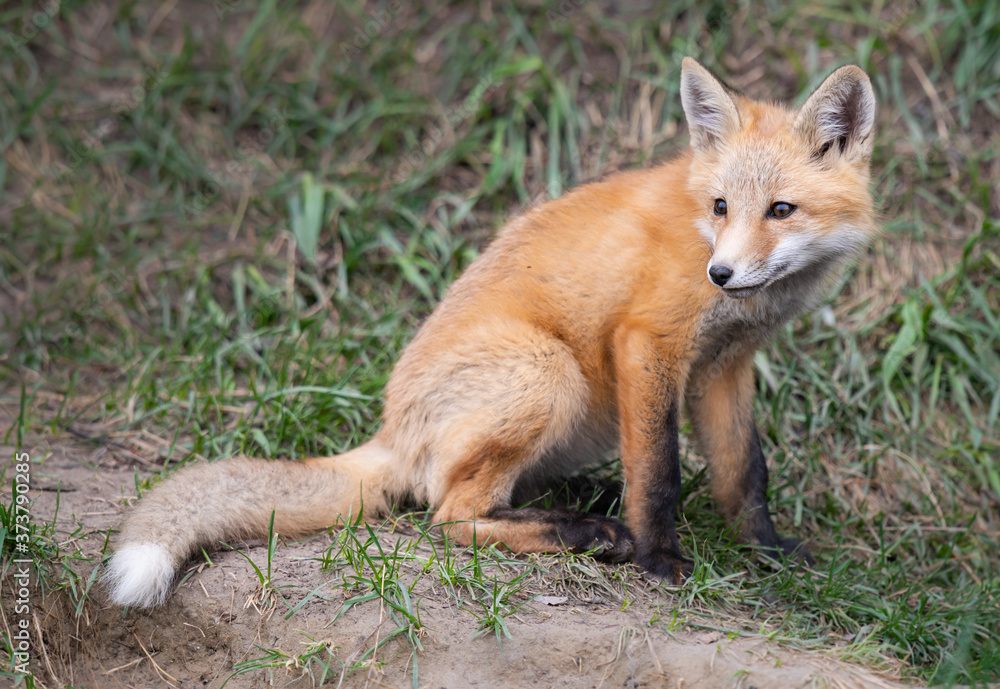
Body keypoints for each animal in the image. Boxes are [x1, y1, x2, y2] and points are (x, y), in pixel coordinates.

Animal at [106, 57, 878, 608]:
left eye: (781, 209)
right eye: (721, 206)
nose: (720, 273)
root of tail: (392, 429)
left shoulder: (724, 365)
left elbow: (744, 472)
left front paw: (766, 551)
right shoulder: (649, 344)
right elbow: (658, 471)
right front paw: (661, 559)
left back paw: (586, 504)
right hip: (551, 373)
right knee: (447, 513)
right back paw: (584, 532)